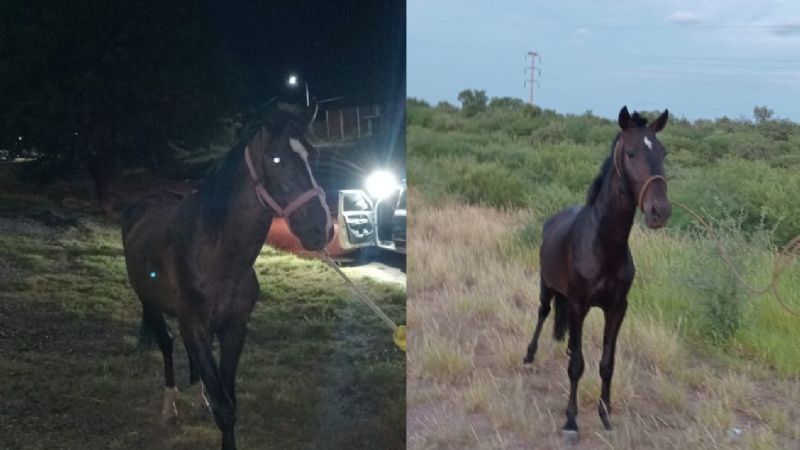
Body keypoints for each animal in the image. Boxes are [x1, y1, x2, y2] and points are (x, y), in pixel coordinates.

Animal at [121, 99, 333, 450]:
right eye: (276, 158)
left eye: (313, 155)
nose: (321, 229)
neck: (218, 256)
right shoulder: (195, 326)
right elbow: (225, 407)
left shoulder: (233, 329)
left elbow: (228, 396)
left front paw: (208, 401)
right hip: (151, 305)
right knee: (167, 345)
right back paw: (170, 407)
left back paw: (198, 399)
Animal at [523, 106, 671, 441]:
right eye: (630, 152)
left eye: (663, 152)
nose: (660, 211)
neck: (602, 245)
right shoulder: (579, 305)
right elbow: (577, 366)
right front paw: (570, 420)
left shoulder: (617, 308)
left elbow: (606, 364)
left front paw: (605, 415)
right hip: (547, 287)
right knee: (542, 314)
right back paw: (528, 355)